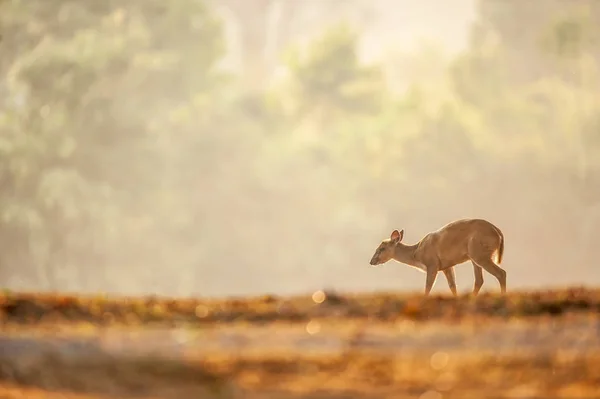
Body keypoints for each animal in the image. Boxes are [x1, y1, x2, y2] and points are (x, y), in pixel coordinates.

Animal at [368, 219, 504, 296]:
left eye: (382, 248)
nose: (371, 261)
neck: (416, 253)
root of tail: (498, 232)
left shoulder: (432, 263)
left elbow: (428, 286)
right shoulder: (446, 266)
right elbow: (452, 286)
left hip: (479, 253)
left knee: (501, 273)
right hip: (475, 256)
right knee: (479, 280)